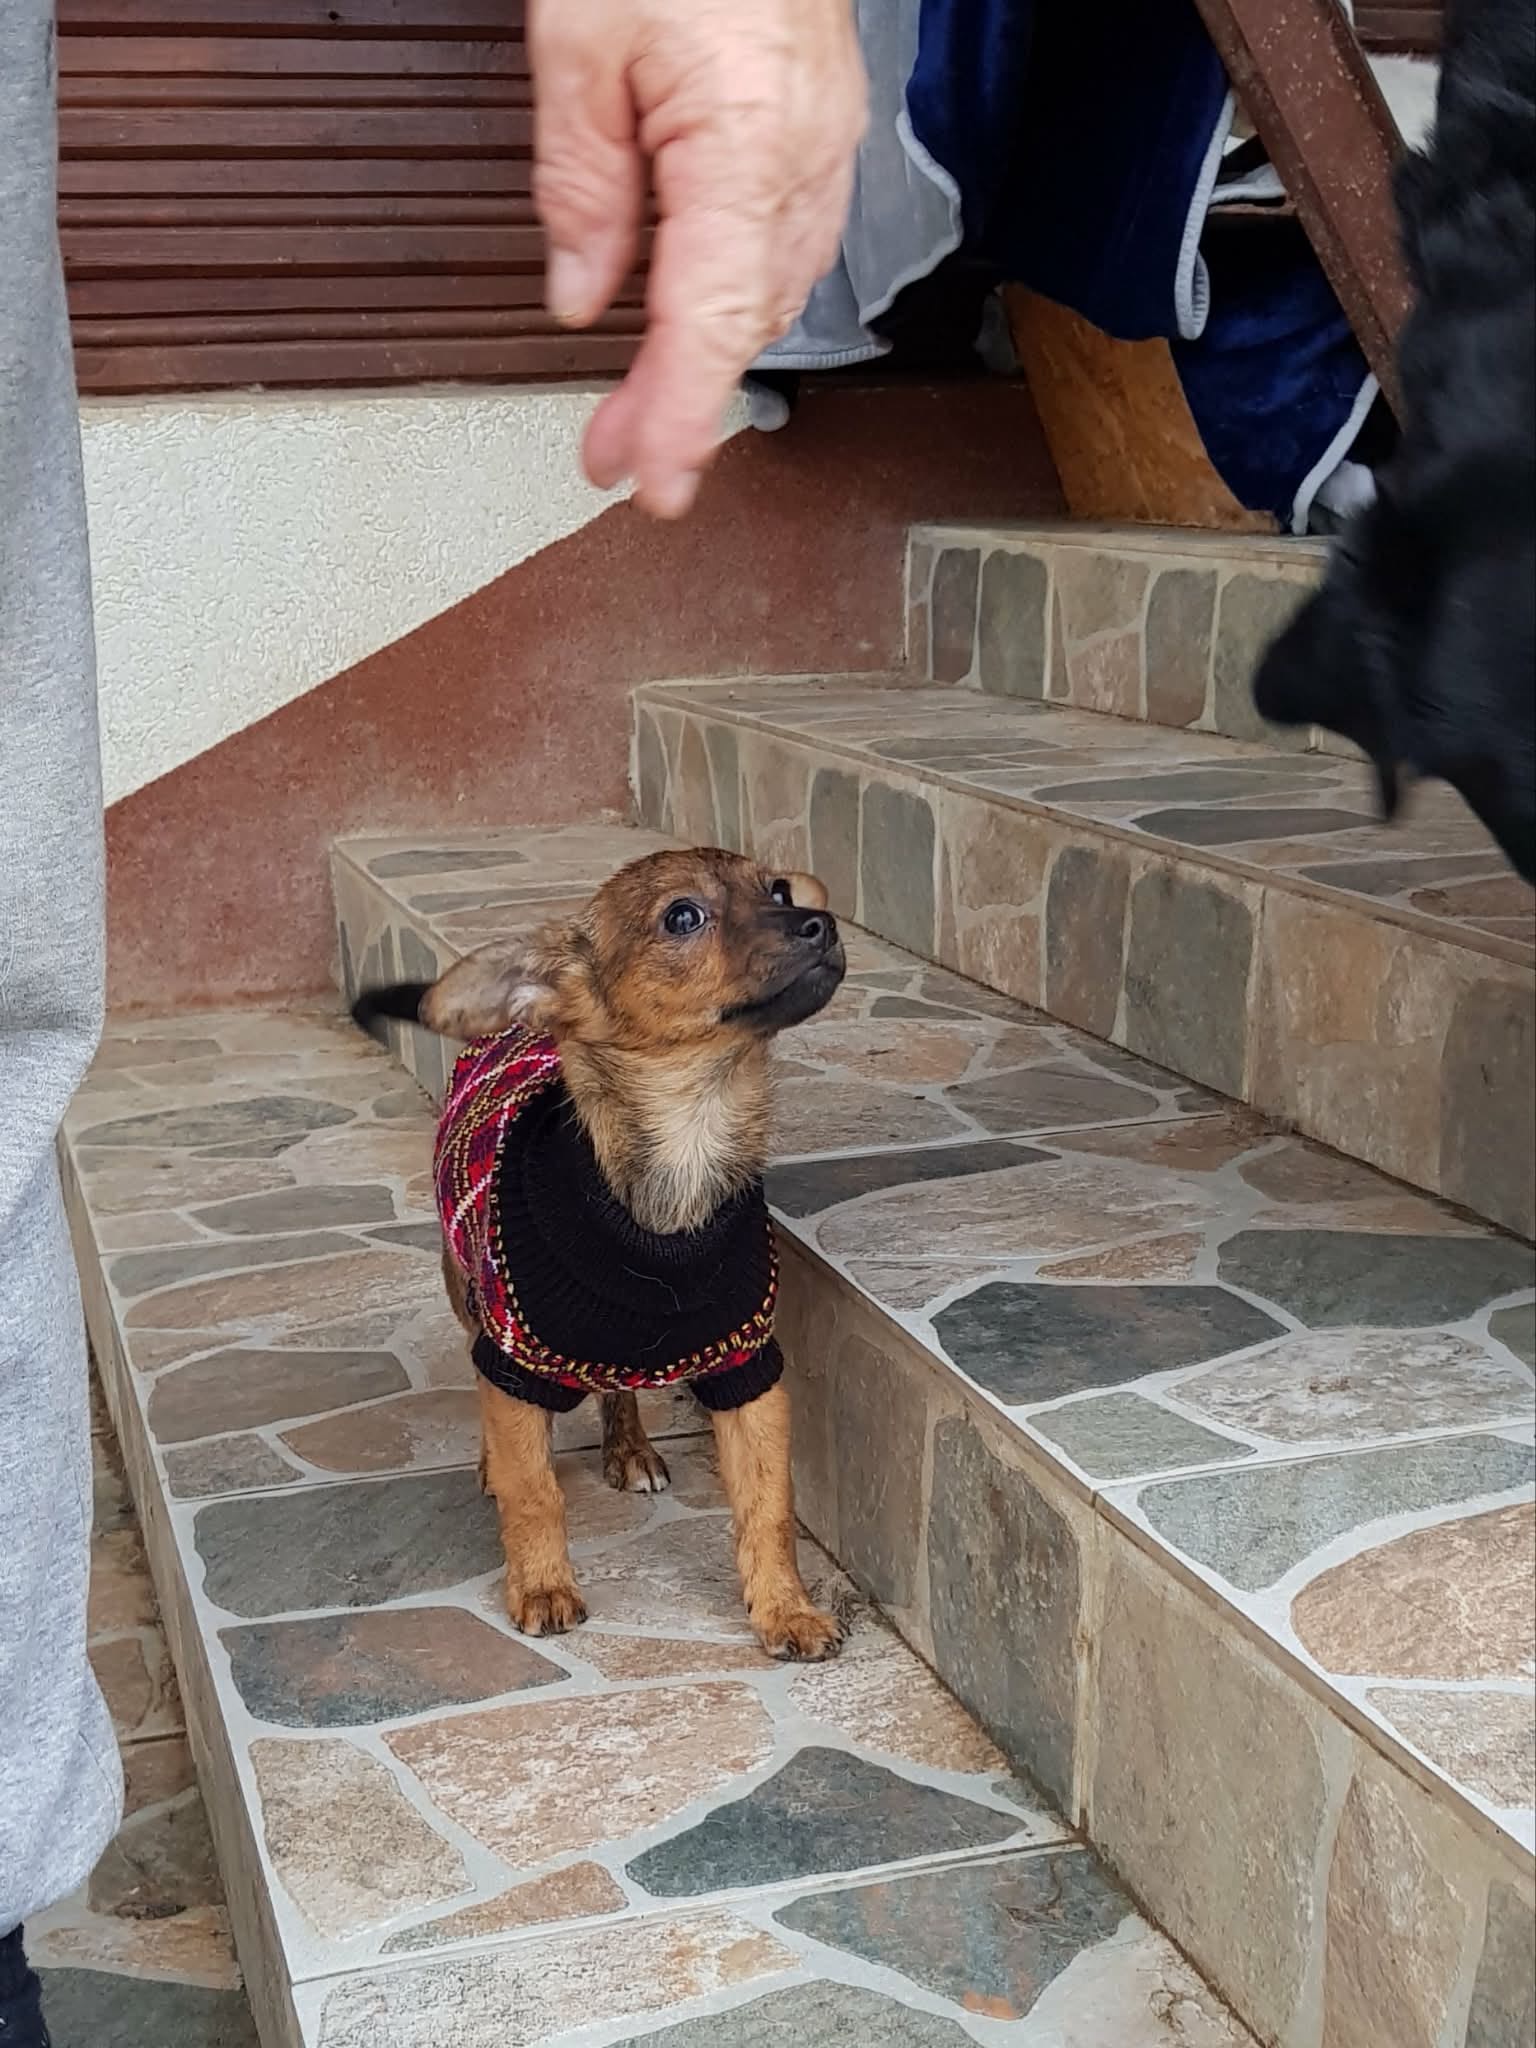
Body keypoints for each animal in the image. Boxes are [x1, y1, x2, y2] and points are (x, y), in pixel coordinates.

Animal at [354, 848, 848, 1661]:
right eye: (683, 916)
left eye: (777, 891)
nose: (822, 923)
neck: (687, 1141)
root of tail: (518, 1029)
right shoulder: (516, 1361)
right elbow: (533, 1491)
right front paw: (542, 1585)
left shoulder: (747, 1368)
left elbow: (768, 1502)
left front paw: (786, 1609)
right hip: (467, 1289)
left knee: (618, 1384)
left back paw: (631, 1447)